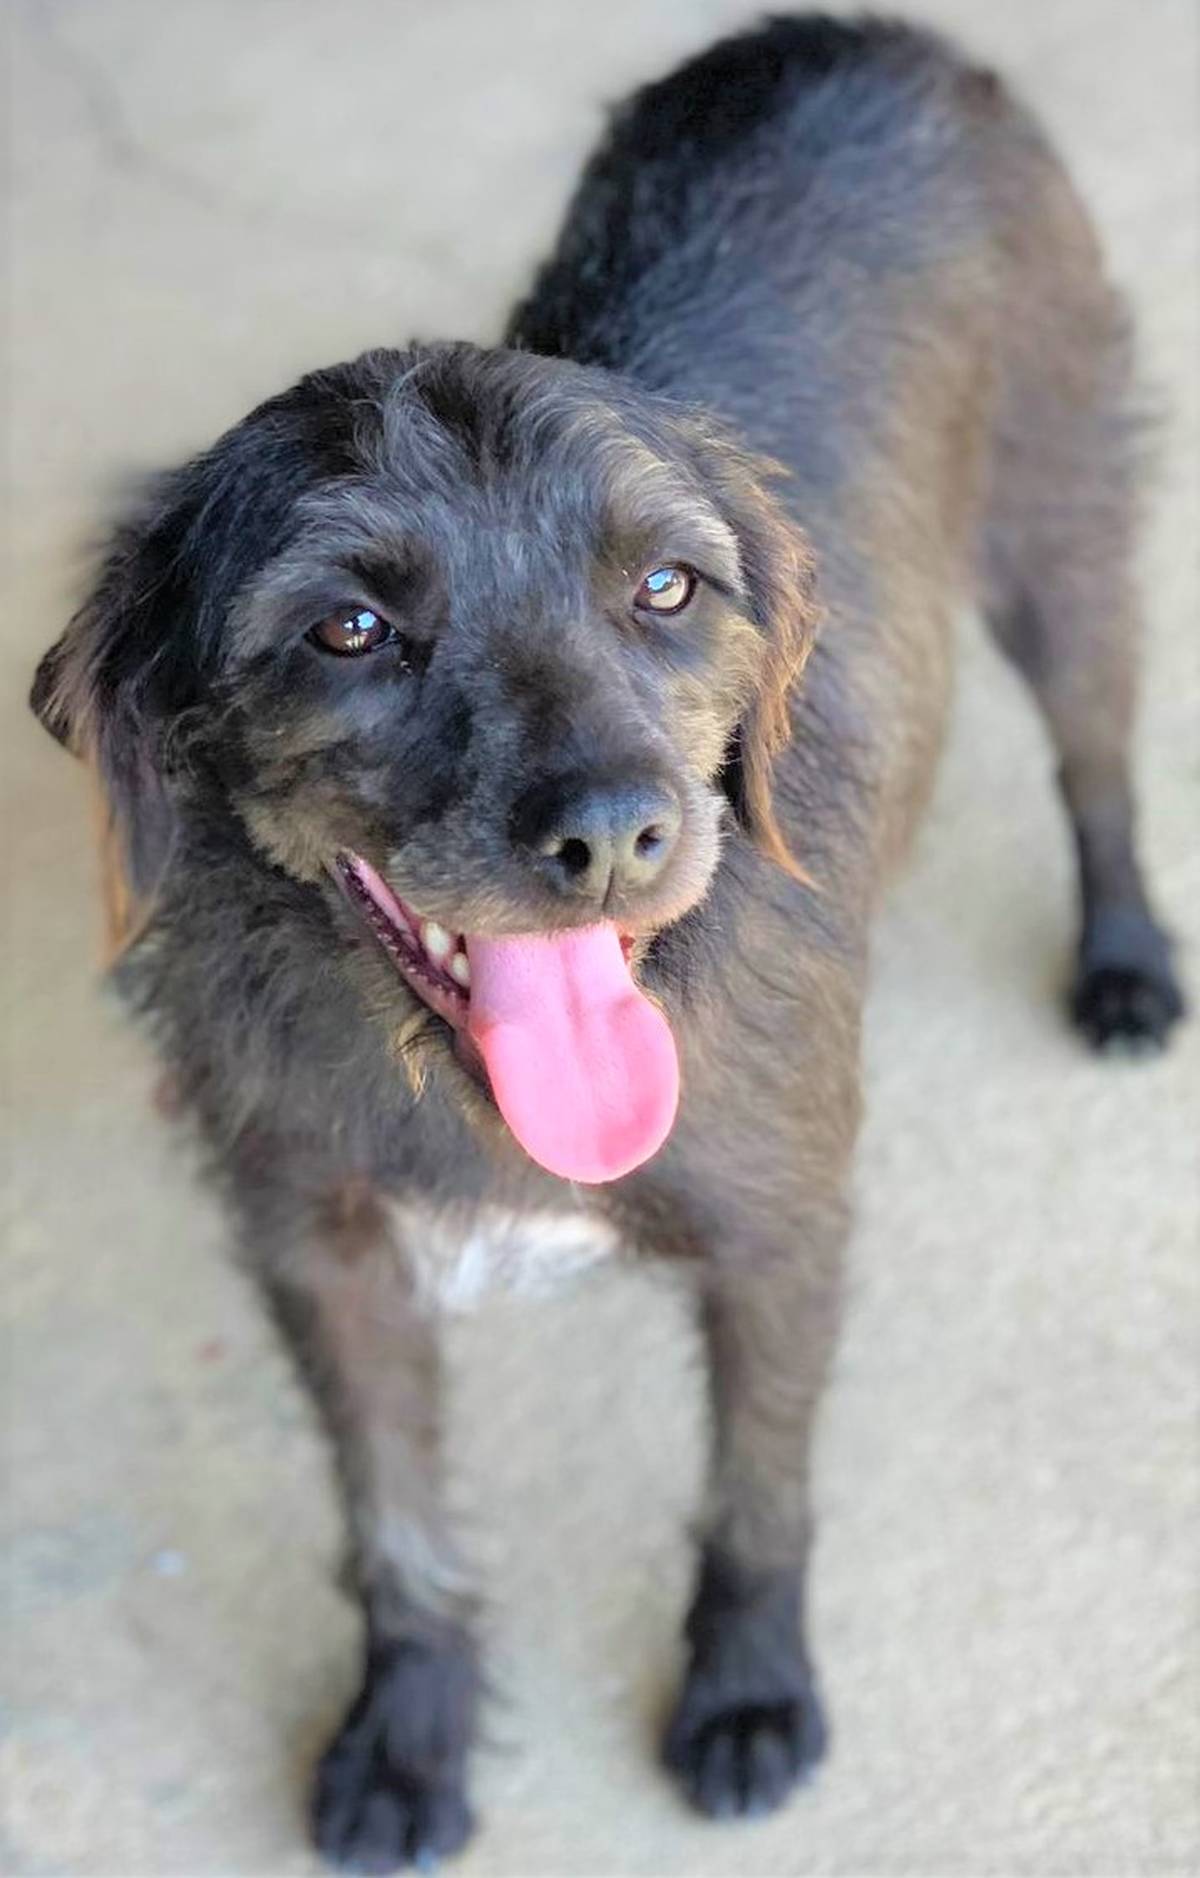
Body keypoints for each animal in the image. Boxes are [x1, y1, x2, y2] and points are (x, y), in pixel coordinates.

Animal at [30, 14, 1185, 1870]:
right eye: (349, 628)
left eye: (666, 589)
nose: (621, 838)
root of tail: (856, 32)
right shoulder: (322, 1256)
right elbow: (397, 1520)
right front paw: (408, 1733)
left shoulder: (783, 1227)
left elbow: (757, 1485)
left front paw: (748, 1691)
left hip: (1060, 521)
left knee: (1097, 750)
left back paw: (1132, 958)